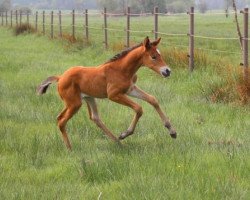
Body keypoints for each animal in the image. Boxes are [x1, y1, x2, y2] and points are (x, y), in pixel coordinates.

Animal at [37, 37, 178, 150]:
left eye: (160, 55)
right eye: (153, 56)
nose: (167, 71)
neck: (121, 69)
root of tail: (60, 78)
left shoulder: (130, 89)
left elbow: (152, 99)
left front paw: (172, 131)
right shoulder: (114, 95)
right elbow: (139, 108)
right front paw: (125, 133)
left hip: (88, 98)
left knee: (94, 118)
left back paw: (117, 142)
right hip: (74, 103)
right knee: (61, 120)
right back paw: (70, 149)